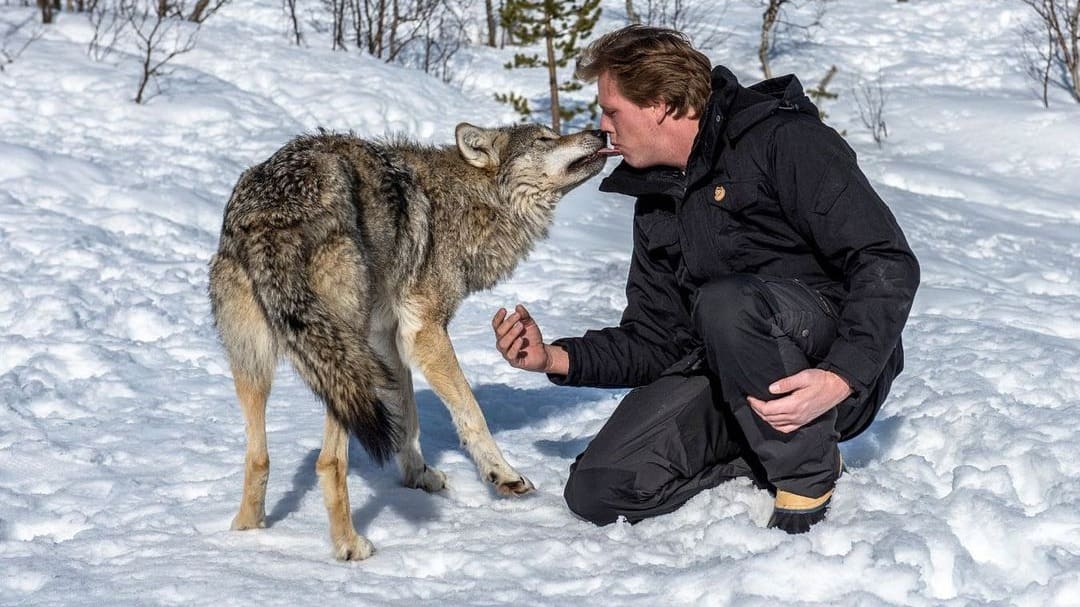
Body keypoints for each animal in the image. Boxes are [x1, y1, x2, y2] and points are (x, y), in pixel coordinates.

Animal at [208, 123, 607, 560]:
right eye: (544, 140)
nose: (601, 132)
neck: (466, 202)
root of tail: (274, 211)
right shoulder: (425, 332)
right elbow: (471, 413)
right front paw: (503, 474)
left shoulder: (387, 338)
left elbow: (407, 420)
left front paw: (419, 476)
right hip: (341, 359)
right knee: (329, 461)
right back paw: (350, 545)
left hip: (263, 361)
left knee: (259, 457)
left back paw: (248, 531)